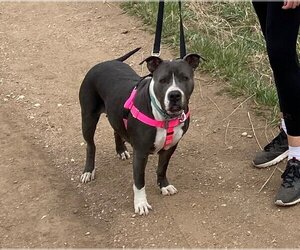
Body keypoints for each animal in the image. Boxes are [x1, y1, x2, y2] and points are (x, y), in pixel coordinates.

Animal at [79, 48, 202, 215]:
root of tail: (110, 61)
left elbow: (162, 168)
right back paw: (88, 170)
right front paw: (141, 203)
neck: (164, 116)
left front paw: (164, 186)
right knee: (90, 146)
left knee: (117, 130)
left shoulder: (170, 148)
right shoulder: (141, 153)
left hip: (115, 113)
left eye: (185, 78)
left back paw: (121, 150)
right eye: (162, 80)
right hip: (88, 119)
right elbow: (139, 181)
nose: (174, 95)